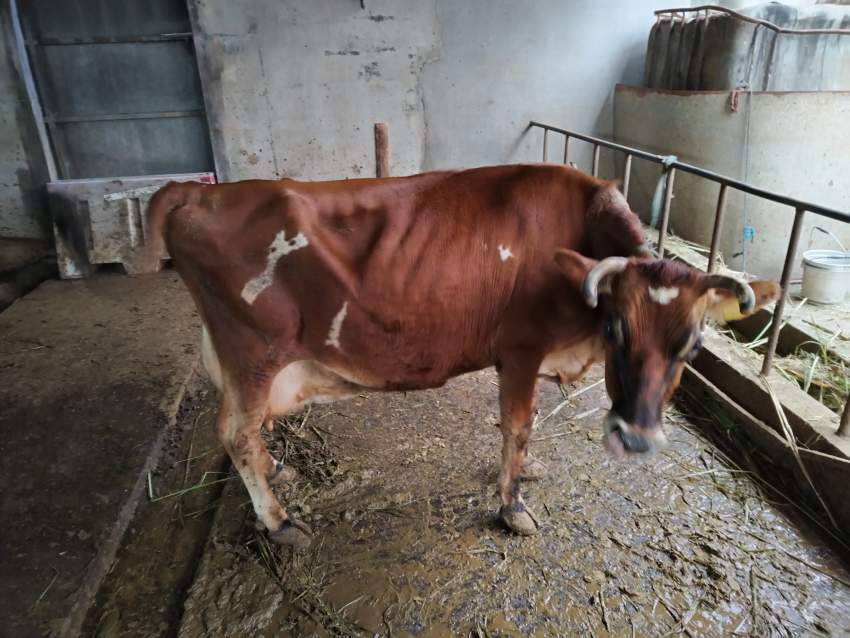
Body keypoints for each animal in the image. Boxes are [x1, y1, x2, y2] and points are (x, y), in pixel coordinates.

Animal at [145, 164, 779, 549]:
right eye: (617, 327)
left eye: (693, 345)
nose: (638, 439)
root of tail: (200, 191)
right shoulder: (521, 347)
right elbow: (517, 426)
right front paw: (513, 506)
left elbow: (522, 430)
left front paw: (526, 472)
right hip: (253, 352)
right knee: (236, 434)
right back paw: (279, 521)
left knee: (241, 430)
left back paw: (277, 471)